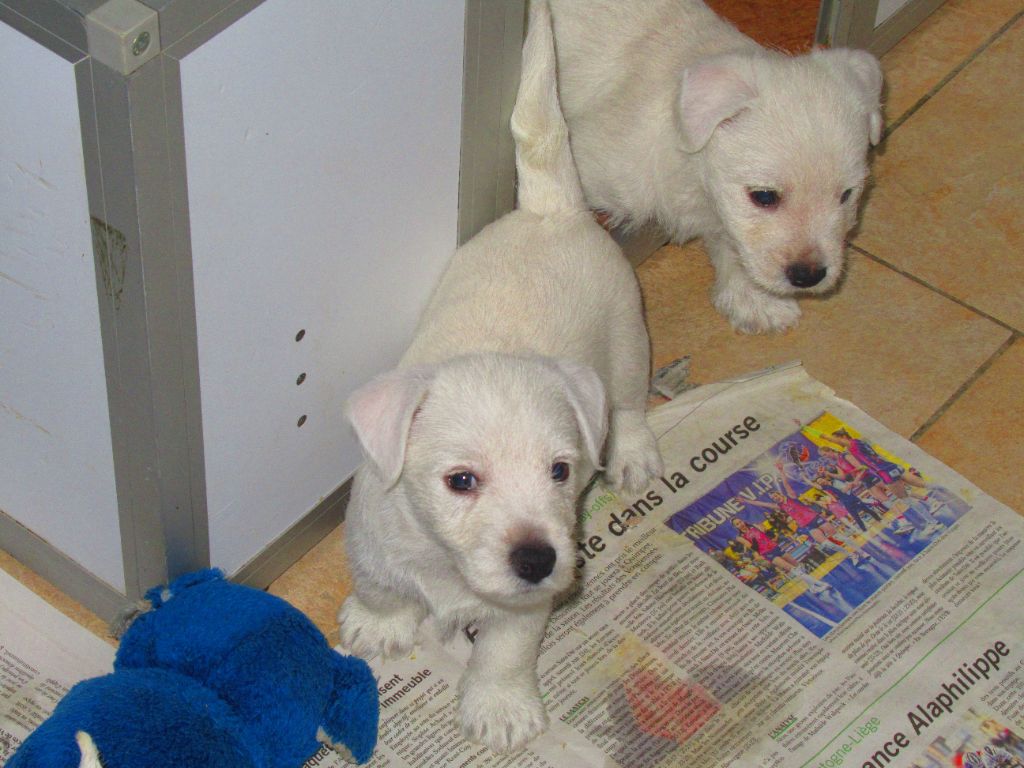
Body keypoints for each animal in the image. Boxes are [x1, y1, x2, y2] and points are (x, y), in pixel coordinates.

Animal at [337, 0, 663, 753]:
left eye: (561, 472)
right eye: (461, 481)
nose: (538, 559)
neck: (444, 565)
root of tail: (554, 207)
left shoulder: (527, 606)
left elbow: (504, 651)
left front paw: (499, 705)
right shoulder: (370, 542)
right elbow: (379, 586)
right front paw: (380, 623)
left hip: (628, 340)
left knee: (630, 404)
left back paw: (632, 452)